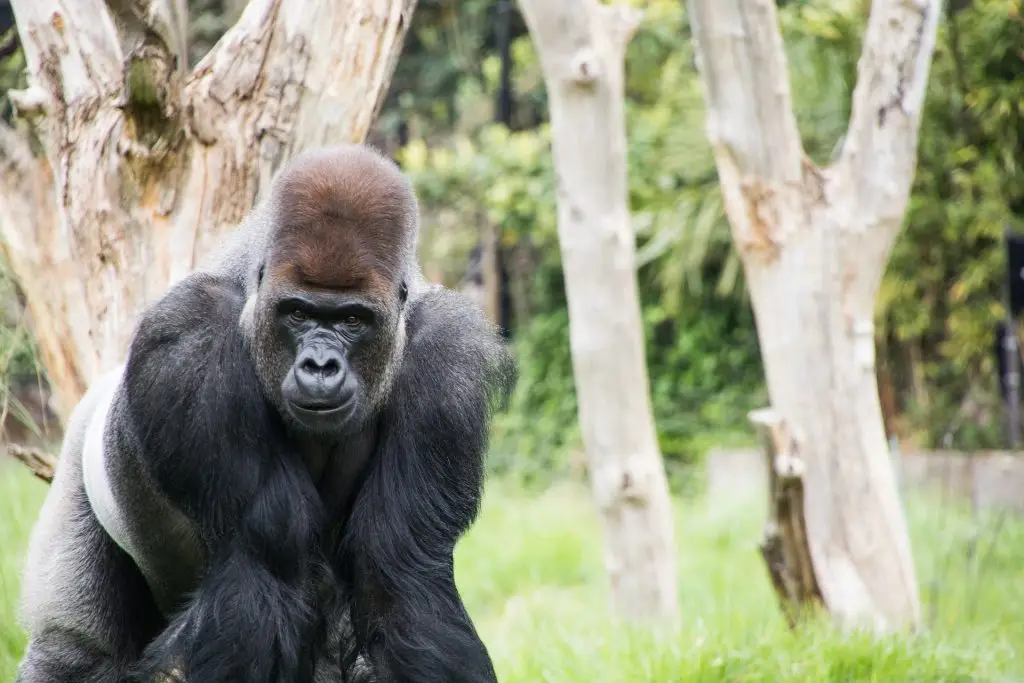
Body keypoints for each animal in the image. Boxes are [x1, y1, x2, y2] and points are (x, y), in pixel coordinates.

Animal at [14, 144, 516, 683]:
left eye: (352, 319)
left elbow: (402, 577)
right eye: (297, 313)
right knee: (73, 648)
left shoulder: (448, 360)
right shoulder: (191, 335)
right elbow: (263, 564)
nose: (320, 366)